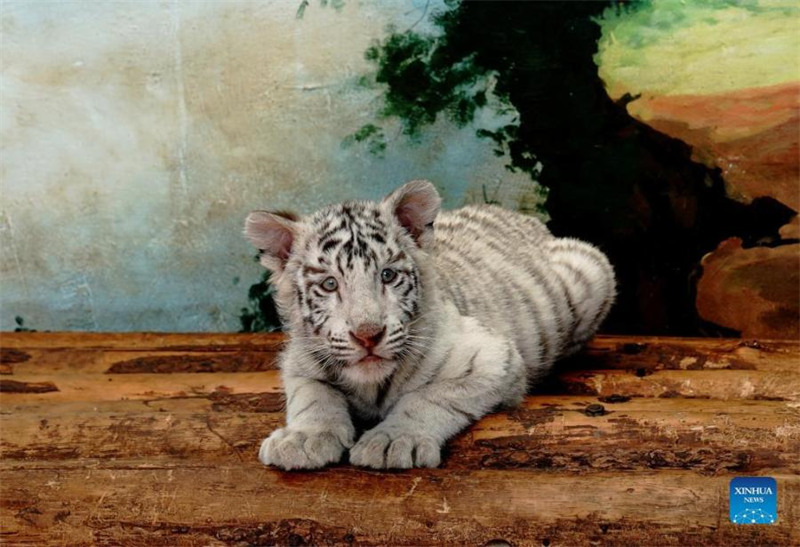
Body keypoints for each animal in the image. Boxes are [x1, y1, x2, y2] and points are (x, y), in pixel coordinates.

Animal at [243, 179, 615, 469]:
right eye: (330, 284)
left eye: (388, 275)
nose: (368, 336)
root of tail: (524, 218)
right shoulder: (299, 361)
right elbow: (313, 396)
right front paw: (302, 438)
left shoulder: (495, 358)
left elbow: (428, 397)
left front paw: (393, 441)